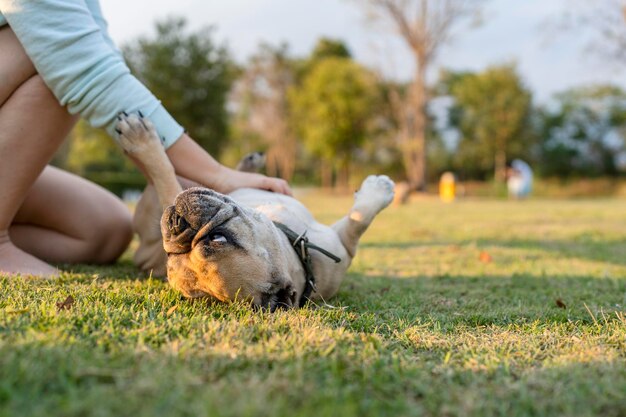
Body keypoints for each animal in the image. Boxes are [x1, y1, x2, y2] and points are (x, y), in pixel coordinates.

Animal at [114, 113, 392, 308]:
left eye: (217, 238)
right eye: (170, 257)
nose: (175, 226)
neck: (298, 249)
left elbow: (358, 220)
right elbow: (358, 220)